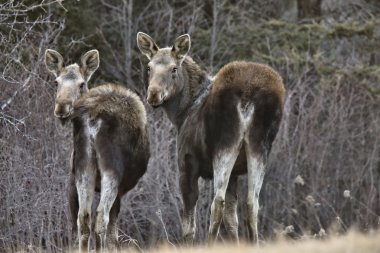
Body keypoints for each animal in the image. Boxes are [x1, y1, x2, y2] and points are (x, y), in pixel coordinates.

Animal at [45, 49, 150, 251]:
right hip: (112, 171)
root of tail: (93, 118)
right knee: (101, 218)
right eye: (56, 82)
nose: (61, 107)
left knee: (83, 219)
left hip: (83, 167)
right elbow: (113, 236)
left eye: (81, 83)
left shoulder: (72, 181)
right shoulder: (121, 189)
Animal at [137, 32, 284, 244]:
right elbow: (232, 220)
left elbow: (189, 226)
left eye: (174, 68)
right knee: (251, 203)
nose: (153, 95)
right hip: (260, 147)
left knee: (217, 202)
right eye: (149, 67)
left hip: (225, 145)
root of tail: (249, 94)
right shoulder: (236, 174)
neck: (181, 114)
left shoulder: (187, 164)